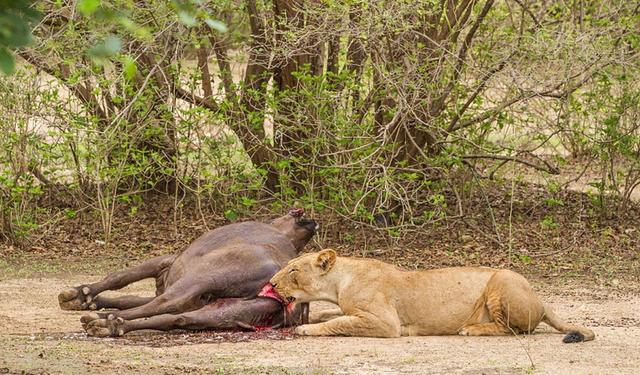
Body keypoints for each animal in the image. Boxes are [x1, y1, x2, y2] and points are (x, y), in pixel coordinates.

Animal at [58, 209, 318, 338]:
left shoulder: (166, 261)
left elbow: (119, 278)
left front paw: (79, 294)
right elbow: (128, 297)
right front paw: (88, 299)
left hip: (203, 279)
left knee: (166, 304)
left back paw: (103, 320)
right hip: (226, 311)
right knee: (177, 318)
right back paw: (111, 325)